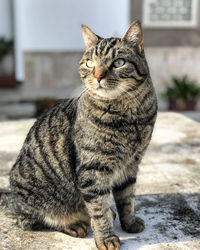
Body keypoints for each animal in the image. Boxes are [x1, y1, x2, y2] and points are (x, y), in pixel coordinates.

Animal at [3, 22, 157, 250]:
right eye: (90, 63)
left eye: (118, 63)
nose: (98, 76)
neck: (129, 116)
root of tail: (11, 201)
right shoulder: (93, 170)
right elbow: (99, 210)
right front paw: (106, 238)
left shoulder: (131, 165)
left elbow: (127, 198)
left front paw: (128, 223)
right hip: (34, 198)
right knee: (33, 221)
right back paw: (73, 224)